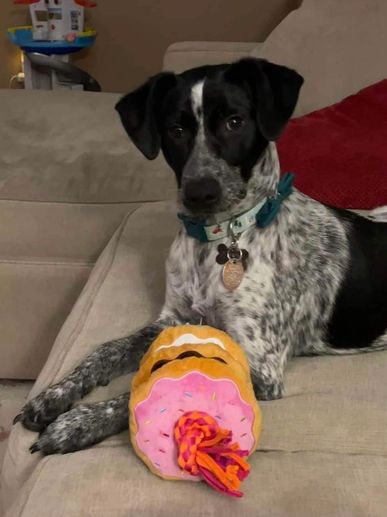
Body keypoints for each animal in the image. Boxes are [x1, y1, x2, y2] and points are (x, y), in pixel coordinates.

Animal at [16, 57, 387, 452]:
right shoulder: (174, 319)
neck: (218, 241)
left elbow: (175, 372)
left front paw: (80, 422)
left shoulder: (261, 362)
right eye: (176, 130)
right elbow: (107, 349)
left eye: (234, 122)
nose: (200, 192)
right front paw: (55, 395)